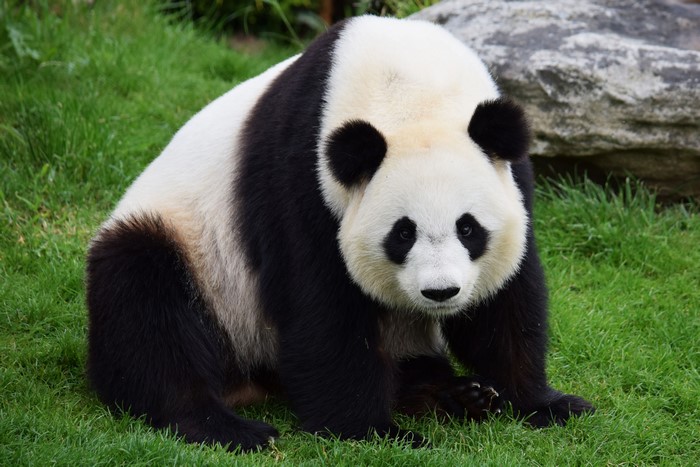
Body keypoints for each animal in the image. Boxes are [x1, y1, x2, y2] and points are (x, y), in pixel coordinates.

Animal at [86, 15, 593, 451]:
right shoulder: (302, 175)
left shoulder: (514, 179)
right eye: (402, 234)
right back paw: (227, 427)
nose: (440, 292)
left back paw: (454, 395)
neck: (411, 90)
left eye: (468, 228)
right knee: (146, 307)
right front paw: (373, 432)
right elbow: (322, 305)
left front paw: (545, 402)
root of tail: (252, 378)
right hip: (196, 258)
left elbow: (508, 299)